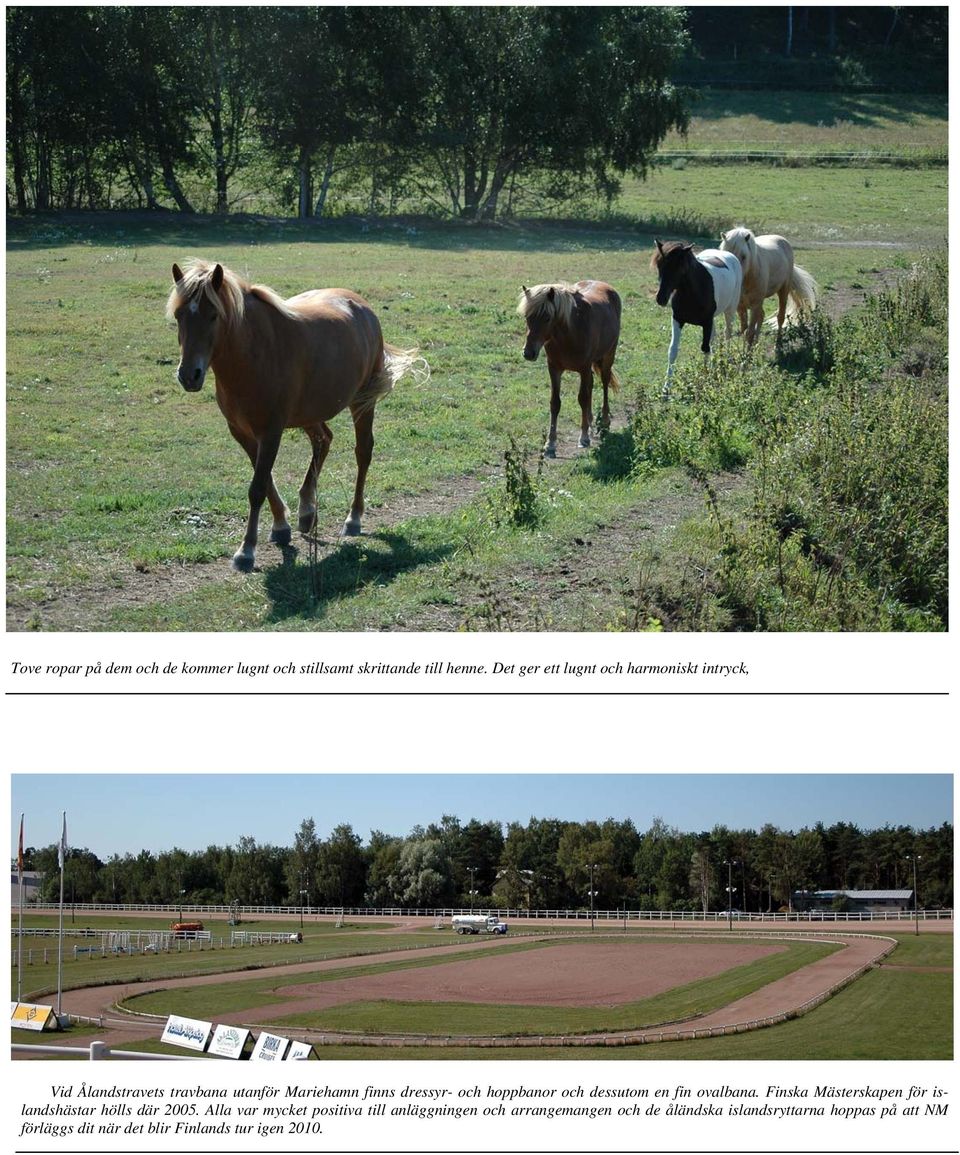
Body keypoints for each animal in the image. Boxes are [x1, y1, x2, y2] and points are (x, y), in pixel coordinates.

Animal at [166, 258, 425, 572]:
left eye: (213, 315)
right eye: (179, 315)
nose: (188, 375)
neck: (254, 354)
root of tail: (363, 308)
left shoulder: (271, 432)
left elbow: (257, 487)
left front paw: (246, 551)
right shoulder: (242, 432)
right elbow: (265, 482)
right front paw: (281, 526)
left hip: (362, 402)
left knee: (363, 452)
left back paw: (353, 518)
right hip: (310, 413)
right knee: (323, 440)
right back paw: (307, 510)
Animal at [517, 279, 623, 455]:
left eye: (547, 317)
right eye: (527, 317)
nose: (528, 353)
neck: (569, 334)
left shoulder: (584, 368)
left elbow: (583, 398)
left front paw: (584, 437)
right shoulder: (554, 369)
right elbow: (555, 403)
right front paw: (550, 443)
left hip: (608, 355)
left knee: (604, 383)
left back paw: (604, 422)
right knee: (591, 385)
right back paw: (591, 421)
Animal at [651, 237, 743, 392]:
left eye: (679, 267)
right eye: (659, 266)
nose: (661, 298)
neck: (693, 292)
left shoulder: (707, 322)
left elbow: (705, 348)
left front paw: (705, 379)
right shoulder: (677, 320)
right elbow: (673, 350)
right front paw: (666, 389)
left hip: (730, 310)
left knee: (727, 333)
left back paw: (724, 362)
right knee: (714, 338)